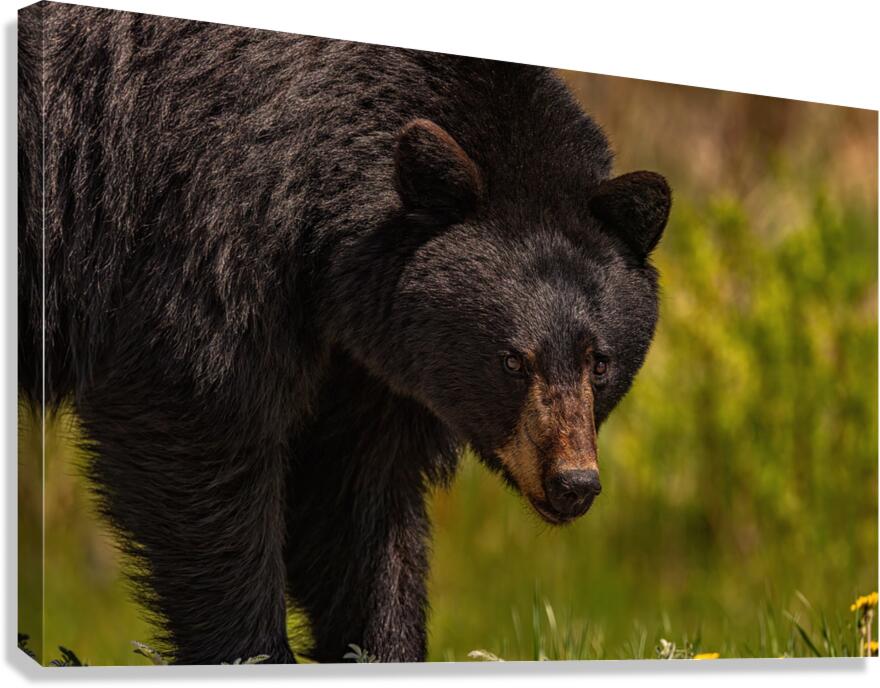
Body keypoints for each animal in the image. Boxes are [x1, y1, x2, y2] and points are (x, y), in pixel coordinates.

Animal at [18, 2, 671, 664]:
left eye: (599, 362)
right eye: (513, 361)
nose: (573, 483)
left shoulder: (370, 346)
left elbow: (355, 494)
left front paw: (383, 645)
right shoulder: (197, 230)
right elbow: (197, 425)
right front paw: (250, 649)